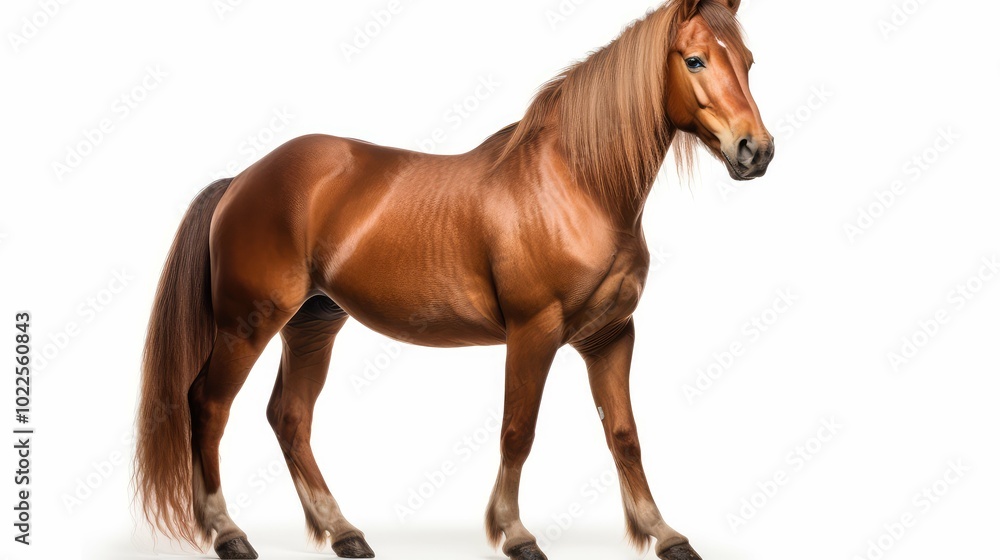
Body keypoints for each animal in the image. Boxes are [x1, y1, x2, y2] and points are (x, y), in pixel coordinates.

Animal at [133, 0, 772, 558]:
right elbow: (518, 430)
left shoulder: (611, 336)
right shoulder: (533, 332)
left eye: (747, 61)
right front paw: (515, 534)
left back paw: (343, 532)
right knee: (208, 406)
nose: (755, 150)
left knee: (290, 418)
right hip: (249, 323)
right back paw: (227, 533)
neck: (576, 185)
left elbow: (625, 435)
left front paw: (665, 534)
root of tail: (243, 179)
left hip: (314, 323)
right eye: (695, 60)